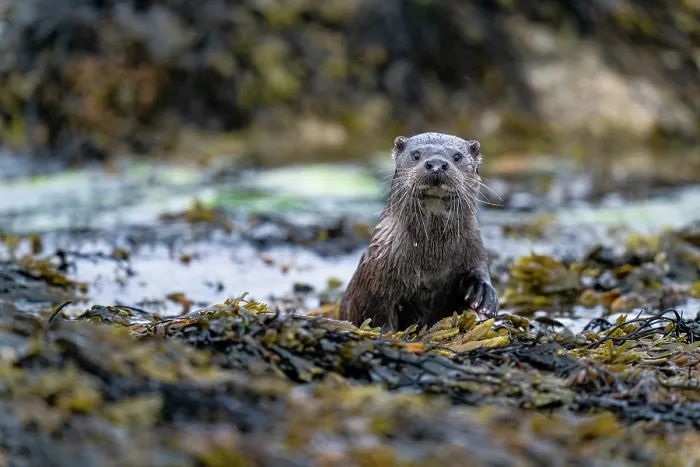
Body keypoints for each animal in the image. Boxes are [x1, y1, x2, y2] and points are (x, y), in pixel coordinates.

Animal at [339, 132, 498, 332]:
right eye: (416, 155)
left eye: (457, 156)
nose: (437, 163)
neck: (432, 263)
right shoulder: (375, 279)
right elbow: (378, 316)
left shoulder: (475, 249)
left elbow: (479, 271)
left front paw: (483, 294)